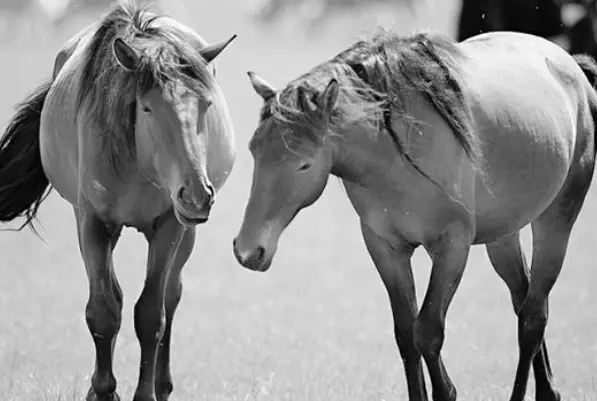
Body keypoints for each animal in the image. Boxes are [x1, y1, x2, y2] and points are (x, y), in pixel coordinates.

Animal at [0, 1, 237, 398]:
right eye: (148, 107)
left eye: (206, 103)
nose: (198, 193)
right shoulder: (92, 222)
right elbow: (103, 310)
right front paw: (103, 389)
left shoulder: (170, 225)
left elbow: (151, 313)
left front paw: (146, 392)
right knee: (115, 295)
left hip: (185, 230)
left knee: (170, 295)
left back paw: (163, 384)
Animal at [232, 28, 596, 400]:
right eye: (254, 150)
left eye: (304, 164)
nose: (247, 251)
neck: (395, 149)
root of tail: (571, 66)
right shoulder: (385, 247)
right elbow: (406, 334)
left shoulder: (451, 247)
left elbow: (428, 331)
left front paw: (447, 390)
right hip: (504, 236)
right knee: (523, 299)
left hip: (556, 221)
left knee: (533, 317)